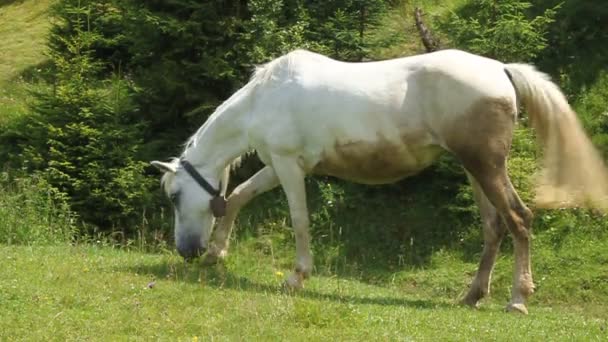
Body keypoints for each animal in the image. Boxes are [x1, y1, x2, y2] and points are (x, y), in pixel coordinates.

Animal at [152, 49, 608, 314]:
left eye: (174, 197)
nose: (187, 252)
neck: (265, 96)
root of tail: (500, 69)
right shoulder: (277, 165)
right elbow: (238, 197)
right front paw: (217, 254)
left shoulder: (288, 167)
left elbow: (299, 222)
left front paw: (296, 277)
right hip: (476, 170)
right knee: (494, 228)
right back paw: (472, 296)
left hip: (487, 168)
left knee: (519, 219)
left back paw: (517, 299)